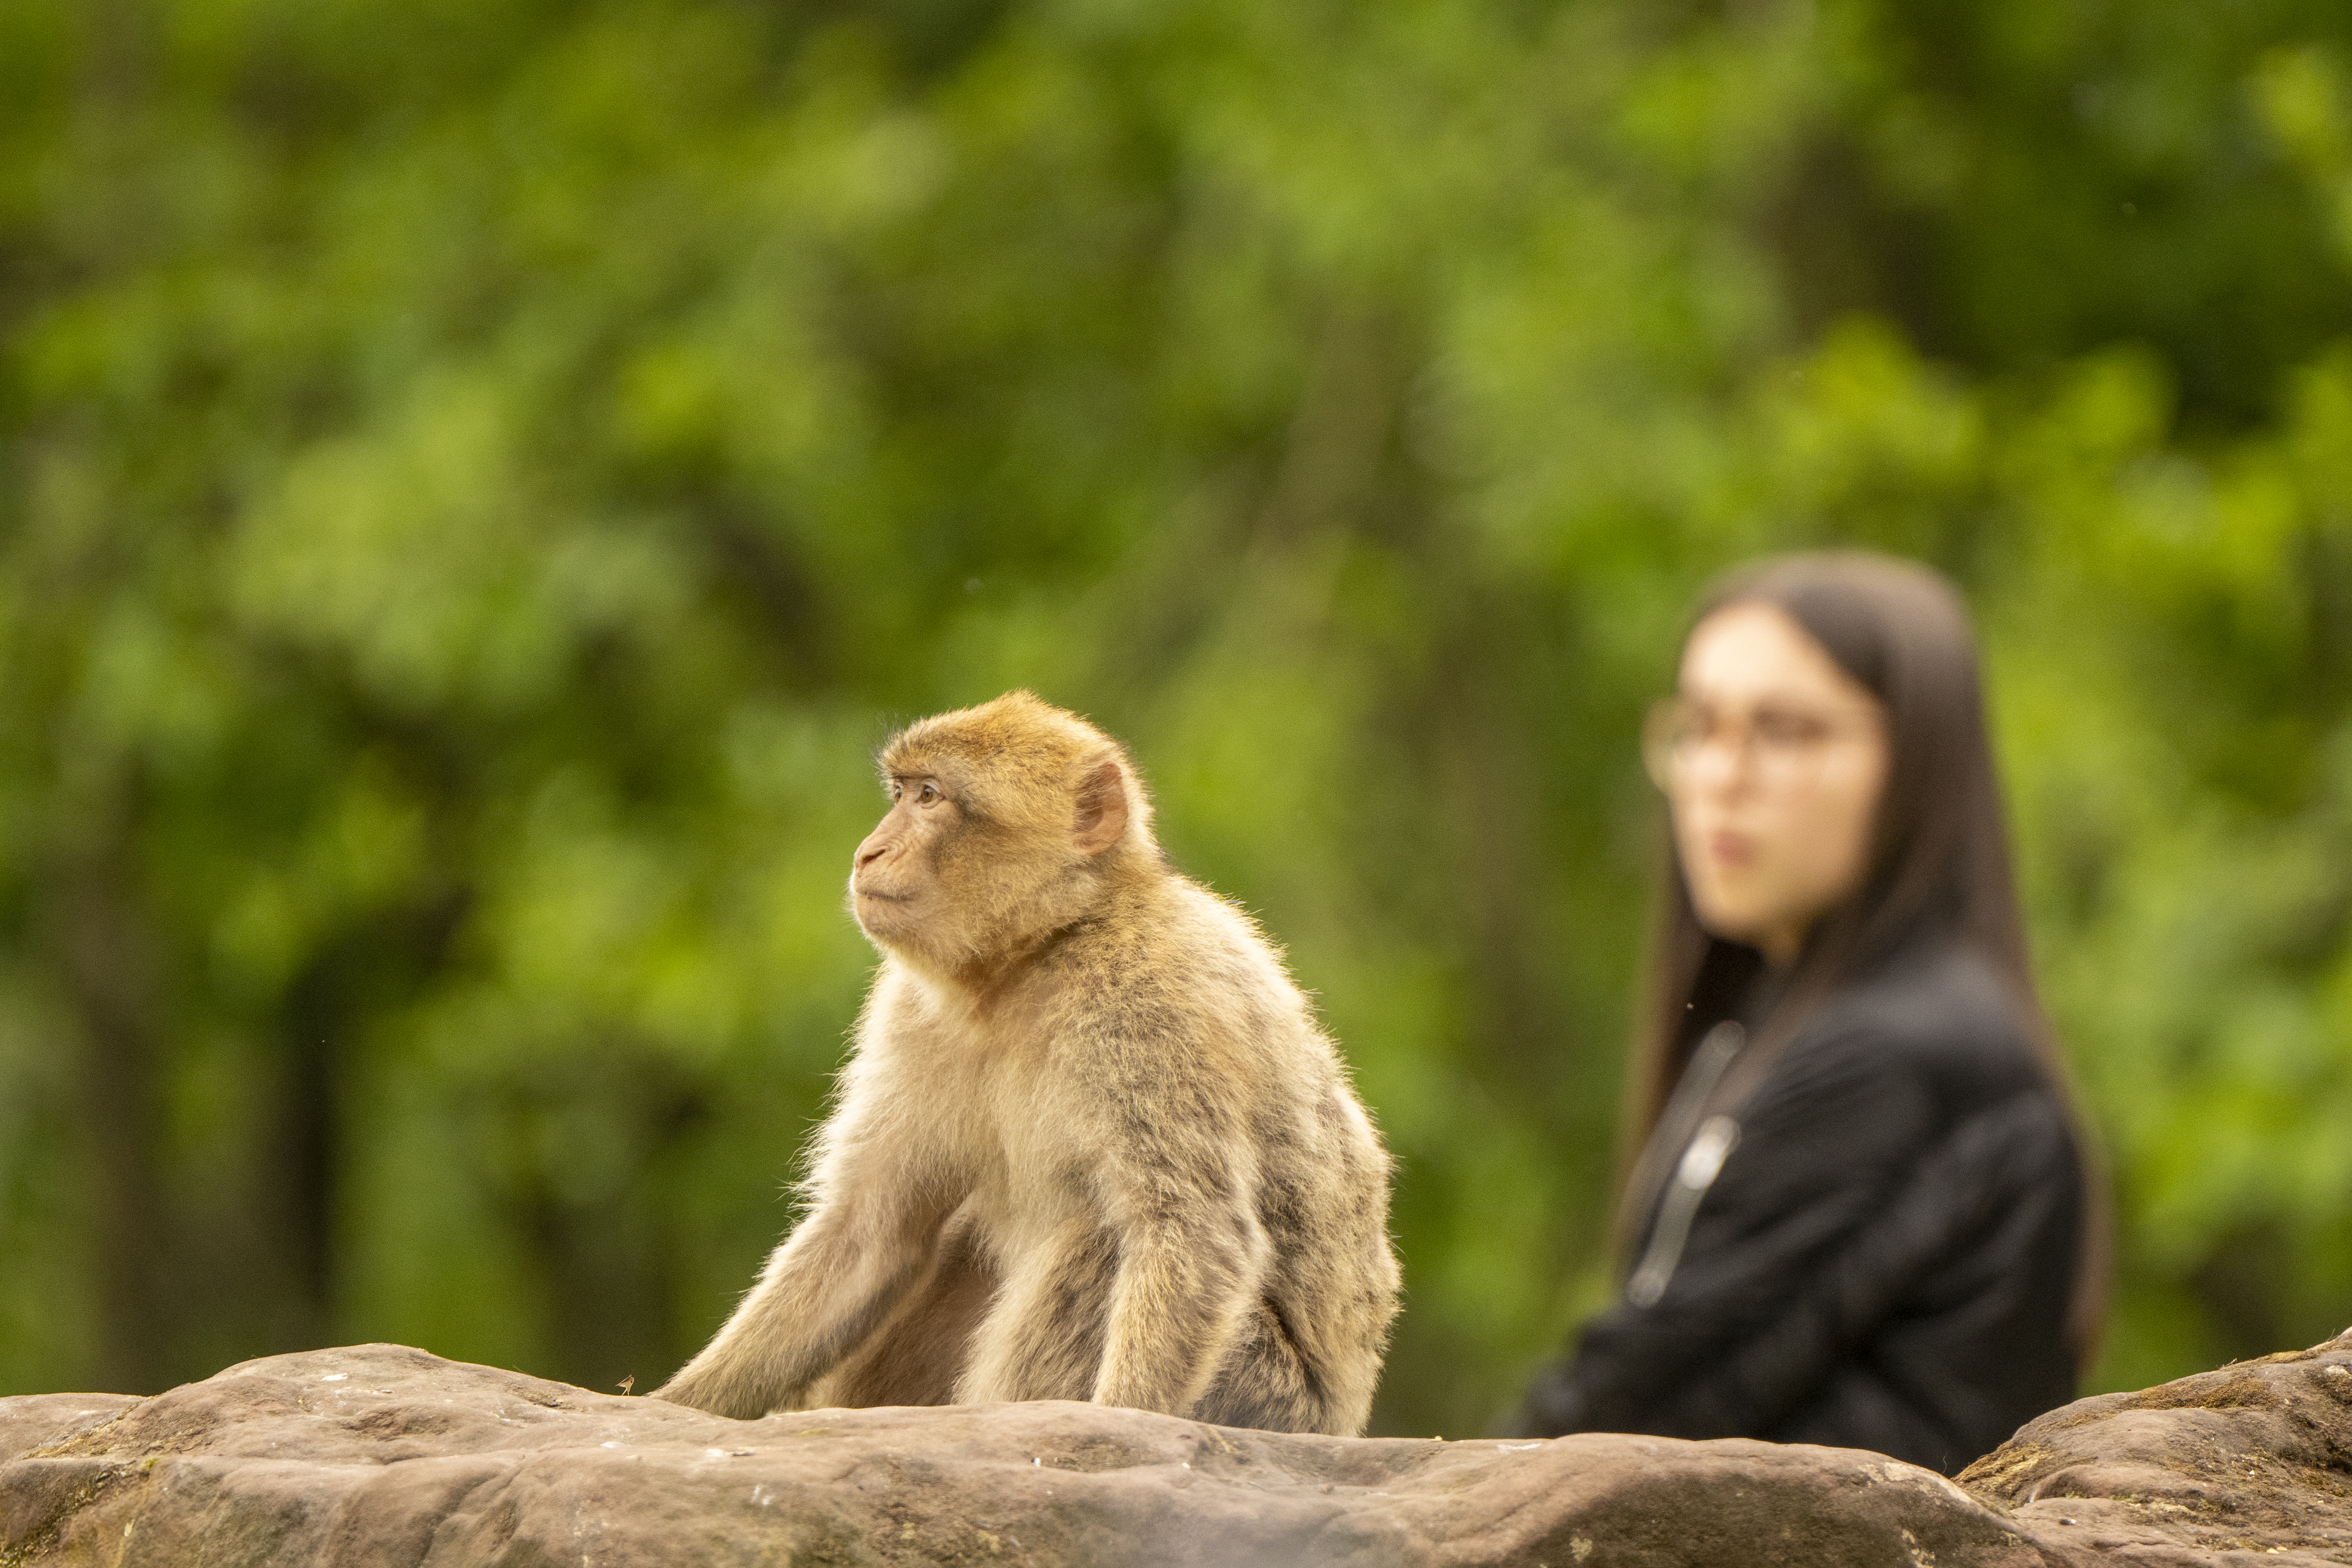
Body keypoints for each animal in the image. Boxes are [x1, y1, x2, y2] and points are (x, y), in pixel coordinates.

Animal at [652, 691, 1399, 1436]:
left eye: (930, 797)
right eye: (901, 793)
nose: (869, 852)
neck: (1037, 957)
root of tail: (1346, 1415)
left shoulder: (1155, 1011)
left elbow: (1194, 1234)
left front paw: (1118, 1425)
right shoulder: (908, 1012)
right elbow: (872, 1231)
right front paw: (674, 1404)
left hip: (1268, 1400)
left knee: (1099, 1237)